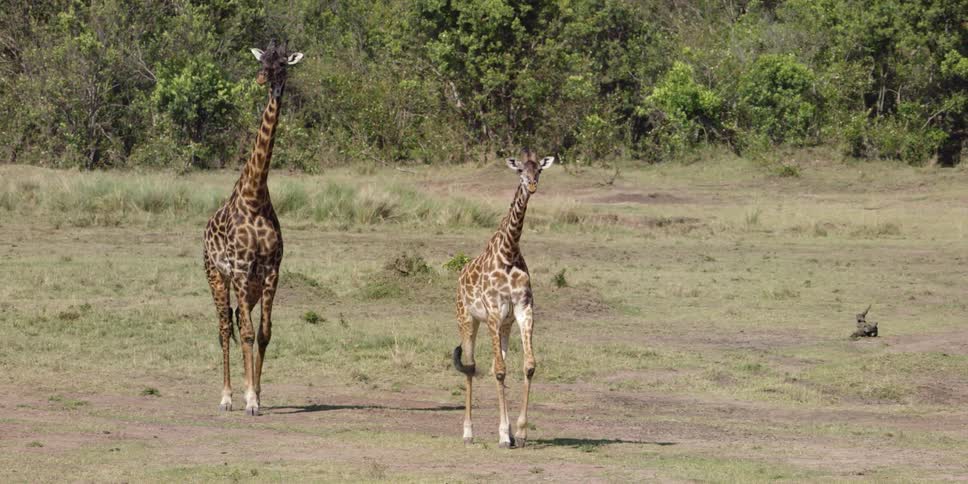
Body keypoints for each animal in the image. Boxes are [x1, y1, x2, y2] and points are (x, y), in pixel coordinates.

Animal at [202, 40, 303, 416]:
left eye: (281, 64)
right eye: (262, 61)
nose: (263, 80)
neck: (255, 195)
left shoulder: (272, 270)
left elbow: (263, 333)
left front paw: (258, 393)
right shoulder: (242, 269)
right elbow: (245, 332)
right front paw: (248, 399)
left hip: (252, 285)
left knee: (236, 322)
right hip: (217, 276)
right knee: (223, 326)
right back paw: (226, 397)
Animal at [453, 149, 555, 448]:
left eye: (539, 170)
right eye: (520, 170)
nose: (532, 185)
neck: (509, 253)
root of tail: (459, 276)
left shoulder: (522, 310)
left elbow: (528, 366)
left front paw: (518, 432)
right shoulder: (492, 313)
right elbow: (499, 370)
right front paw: (502, 435)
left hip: (505, 327)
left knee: (490, 366)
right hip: (468, 320)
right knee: (471, 367)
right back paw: (468, 433)